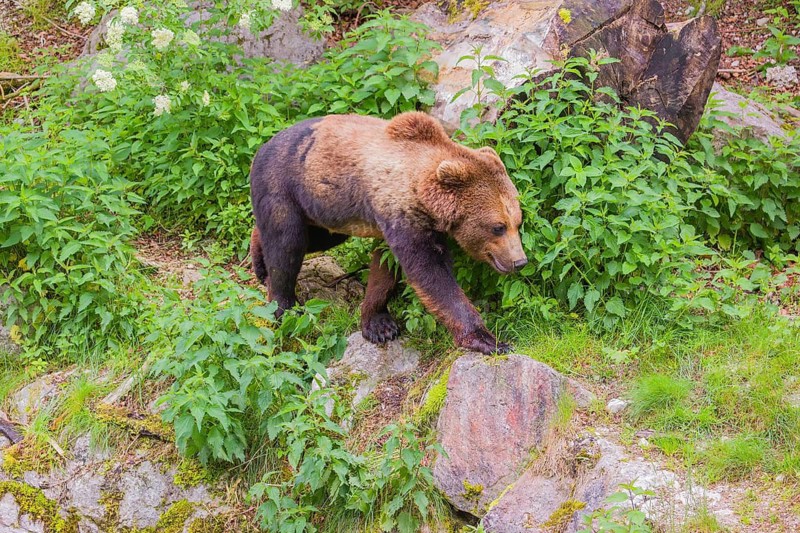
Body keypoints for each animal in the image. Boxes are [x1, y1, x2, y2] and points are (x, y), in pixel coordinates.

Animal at [249, 112, 527, 355]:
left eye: (518, 221)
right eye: (497, 227)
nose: (520, 261)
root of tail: (262, 147)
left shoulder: (391, 221)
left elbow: (385, 268)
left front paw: (379, 324)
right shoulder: (402, 215)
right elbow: (432, 273)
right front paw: (489, 340)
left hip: (323, 205)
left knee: (315, 237)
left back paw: (259, 260)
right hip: (283, 187)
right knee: (288, 245)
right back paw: (283, 306)